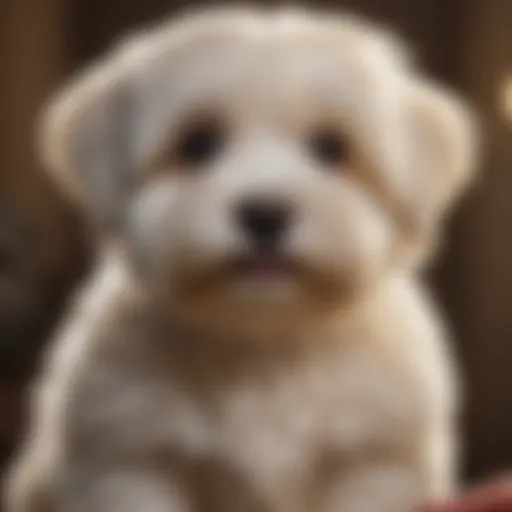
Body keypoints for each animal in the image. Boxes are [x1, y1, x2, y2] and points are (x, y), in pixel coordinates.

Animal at [4, 7, 478, 512]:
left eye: (332, 147)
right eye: (197, 143)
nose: (265, 214)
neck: (262, 347)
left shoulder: (374, 462)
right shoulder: (131, 461)